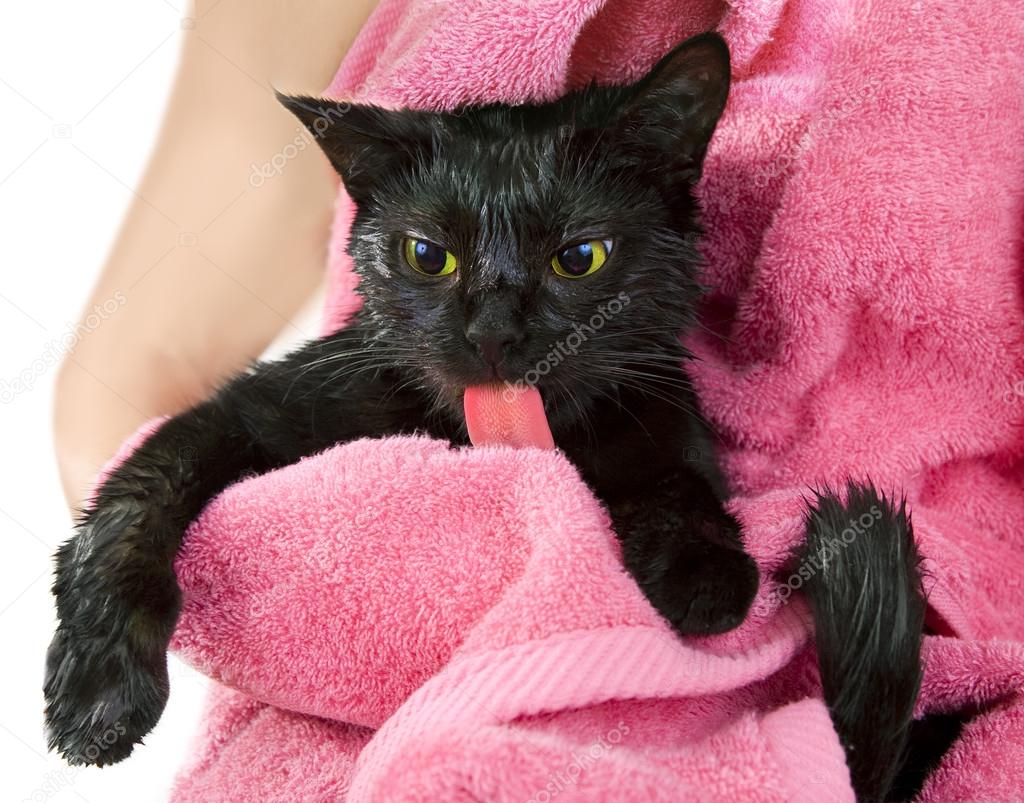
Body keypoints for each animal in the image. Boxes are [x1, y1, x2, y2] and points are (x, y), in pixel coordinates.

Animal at [48, 33, 929, 802]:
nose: (494, 333)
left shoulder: (663, 407)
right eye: (426, 255)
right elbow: (134, 497)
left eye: (581, 257)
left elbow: (678, 475)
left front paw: (701, 568)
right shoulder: (260, 406)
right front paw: (97, 693)